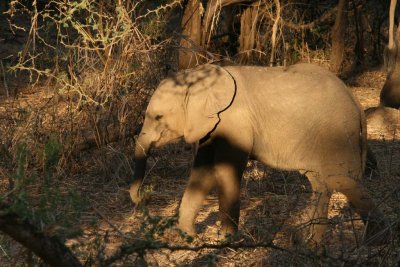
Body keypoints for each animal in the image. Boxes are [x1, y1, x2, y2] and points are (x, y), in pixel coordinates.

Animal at [130, 63, 384, 248]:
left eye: (158, 117)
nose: (144, 198)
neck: (199, 76)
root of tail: (356, 102)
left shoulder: (235, 123)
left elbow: (225, 171)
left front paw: (226, 241)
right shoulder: (211, 126)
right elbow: (202, 171)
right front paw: (188, 236)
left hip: (337, 134)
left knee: (340, 180)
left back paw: (376, 242)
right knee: (322, 184)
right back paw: (309, 245)